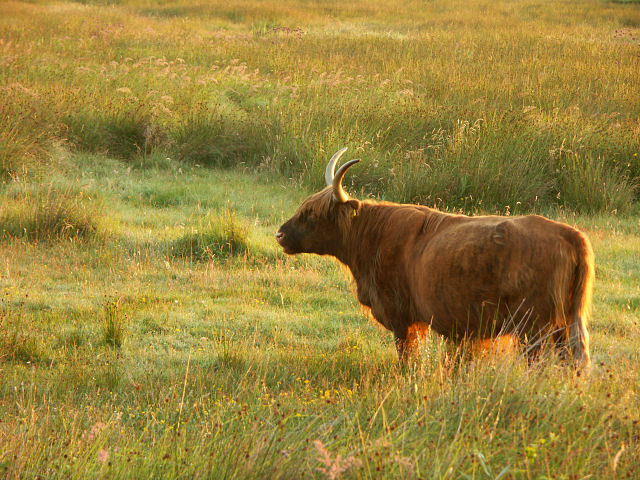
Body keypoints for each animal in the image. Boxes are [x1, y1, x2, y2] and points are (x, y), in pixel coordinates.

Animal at [272, 148, 592, 370]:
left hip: (534, 328)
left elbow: (407, 358)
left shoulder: (402, 319)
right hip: (564, 326)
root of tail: (567, 232)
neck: (371, 236)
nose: (279, 234)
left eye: (311, 214)